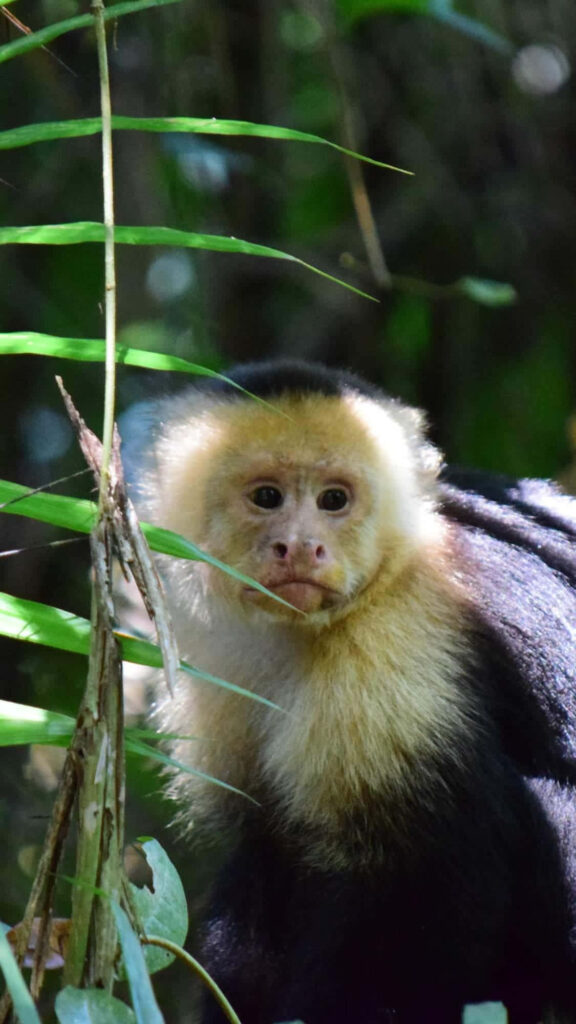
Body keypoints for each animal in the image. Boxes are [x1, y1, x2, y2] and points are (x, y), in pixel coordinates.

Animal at [137, 360, 576, 1024]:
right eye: (267, 497)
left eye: (334, 500)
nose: (301, 547)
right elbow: (269, 846)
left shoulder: (397, 638)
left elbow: (423, 887)